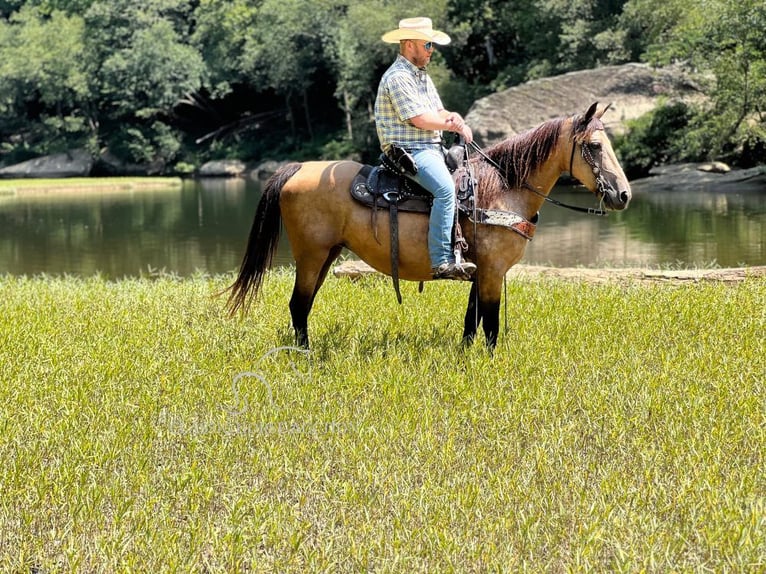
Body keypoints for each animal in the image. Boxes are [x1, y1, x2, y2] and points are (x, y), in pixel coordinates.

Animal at [226, 101, 632, 348]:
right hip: (311, 255)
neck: (503, 189)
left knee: (303, 306)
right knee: (298, 305)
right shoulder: (493, 270)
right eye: (594, 146)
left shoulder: (481, 269)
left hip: (325, 255)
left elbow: (471, 321)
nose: (624, 195)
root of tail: (297, 168)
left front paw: (466, 357)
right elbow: (490, 324)